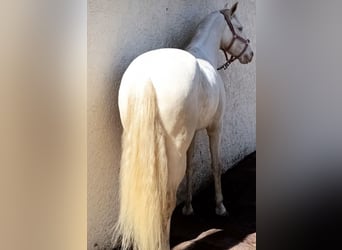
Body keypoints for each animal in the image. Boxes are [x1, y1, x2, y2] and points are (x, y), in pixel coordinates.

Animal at [113, 2, 252, 250]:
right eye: (240, 27)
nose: (250, 54)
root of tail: (146, 78)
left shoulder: (193, 133)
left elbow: (191, 166)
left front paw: (188, 207)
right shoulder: (215, 126)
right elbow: (216, 164)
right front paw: (220, 207)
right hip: (174, 150)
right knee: (166, 200)